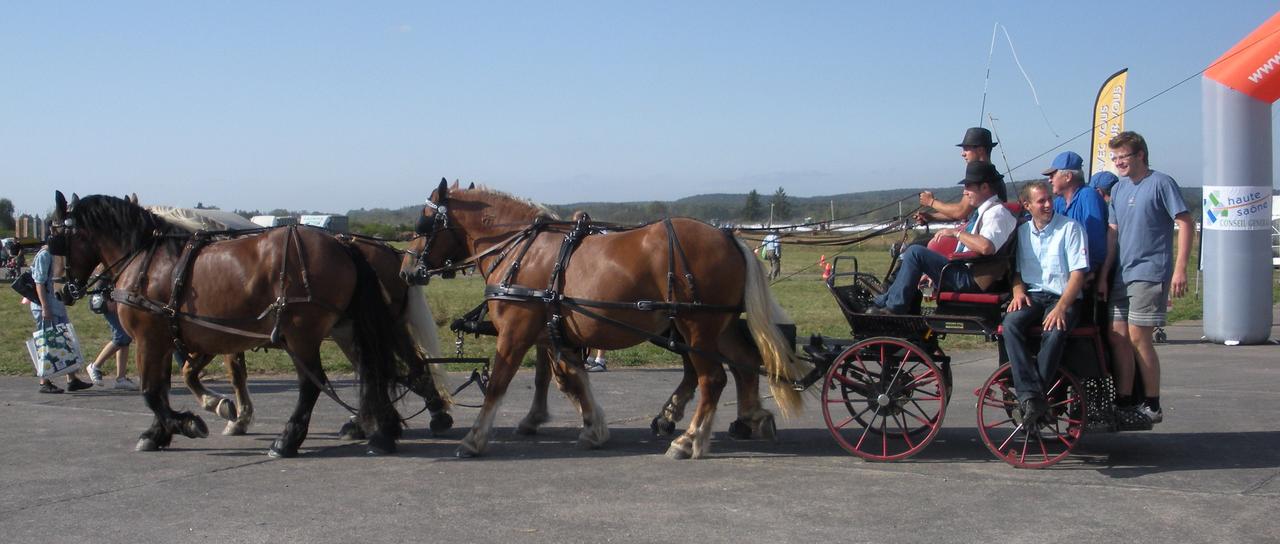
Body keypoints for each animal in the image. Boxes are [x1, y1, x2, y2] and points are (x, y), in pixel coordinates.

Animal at [53, 193, 414, 455]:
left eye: (56, 238)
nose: (59, 290)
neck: (147, 260)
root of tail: (344, 244)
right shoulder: (174, 339)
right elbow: (170, 385)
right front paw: (165, 430)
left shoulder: (150, 340)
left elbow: (152, 392)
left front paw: (186, 424)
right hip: (343, 329)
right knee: (372, 370)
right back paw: (381, 430)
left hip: (302, 334)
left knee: (313, 384)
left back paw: (288, 440)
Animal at [399, 179, 808, 458]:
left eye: (423, 223)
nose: (406, 270)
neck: (520, 250)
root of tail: (729, 237)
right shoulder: (554, 332)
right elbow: (571, 379)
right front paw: (592, 427)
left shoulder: (516, 331)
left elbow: (500, 382)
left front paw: (475, 438)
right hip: (715, 326)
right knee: (742, 364)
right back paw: (751, 417)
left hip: (695, 328)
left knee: (712, 378)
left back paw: (689, 439)